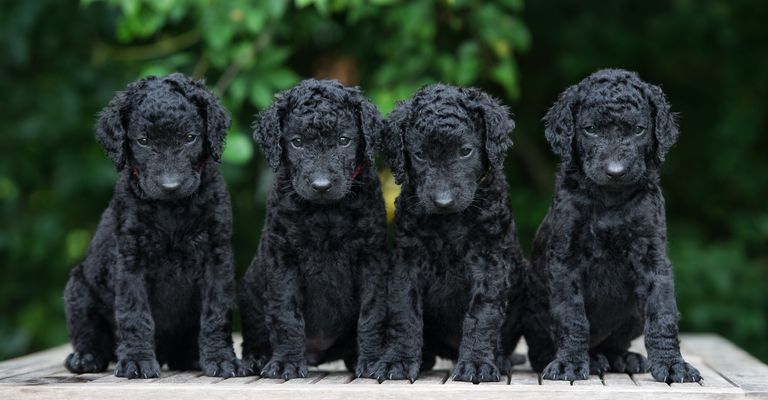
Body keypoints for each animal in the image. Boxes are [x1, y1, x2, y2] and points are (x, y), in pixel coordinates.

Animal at [65, 72, 242, 378]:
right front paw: (136, 360)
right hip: (78, 287)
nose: (170, 185)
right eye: (144, 140)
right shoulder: (130, 259)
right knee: (89, 334)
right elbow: (134, 313)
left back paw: (193, 357)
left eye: (190, 138)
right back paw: (85, 358)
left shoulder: (216, 257)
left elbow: (216, 312)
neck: (172, 209)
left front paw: (221, 359)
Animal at [238, 79, 390, 380]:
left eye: (344, 140)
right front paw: (286, 363)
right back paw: (258, 359)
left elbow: (371, 314)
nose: (321, 185)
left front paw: (371, 361)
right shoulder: (283, 257)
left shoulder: (372, 258)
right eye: (297, 142)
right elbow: (286, 314)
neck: (325, 212)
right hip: (250, 292)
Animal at [374, 84, 528, 384]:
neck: (448, 222)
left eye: (465, 151)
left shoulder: (490, 261)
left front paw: (477, 364)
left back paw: (499, 360)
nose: (442, 201)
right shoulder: (406, 262)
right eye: (420, 154)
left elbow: (482, 313)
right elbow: (404, 311)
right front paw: (398, 360)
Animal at [520, 69, 704, 384]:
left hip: (631, 316)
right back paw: (587, 360)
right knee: (540, 347)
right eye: (591, 129)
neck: (610, 200)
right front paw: (569, 364)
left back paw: (622, 357)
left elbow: (663, 314)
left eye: (639, 130)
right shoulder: (565, 260)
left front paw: (673, 365)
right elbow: (572, 316)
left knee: (615, 342)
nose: (615, 171)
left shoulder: (652, 257)